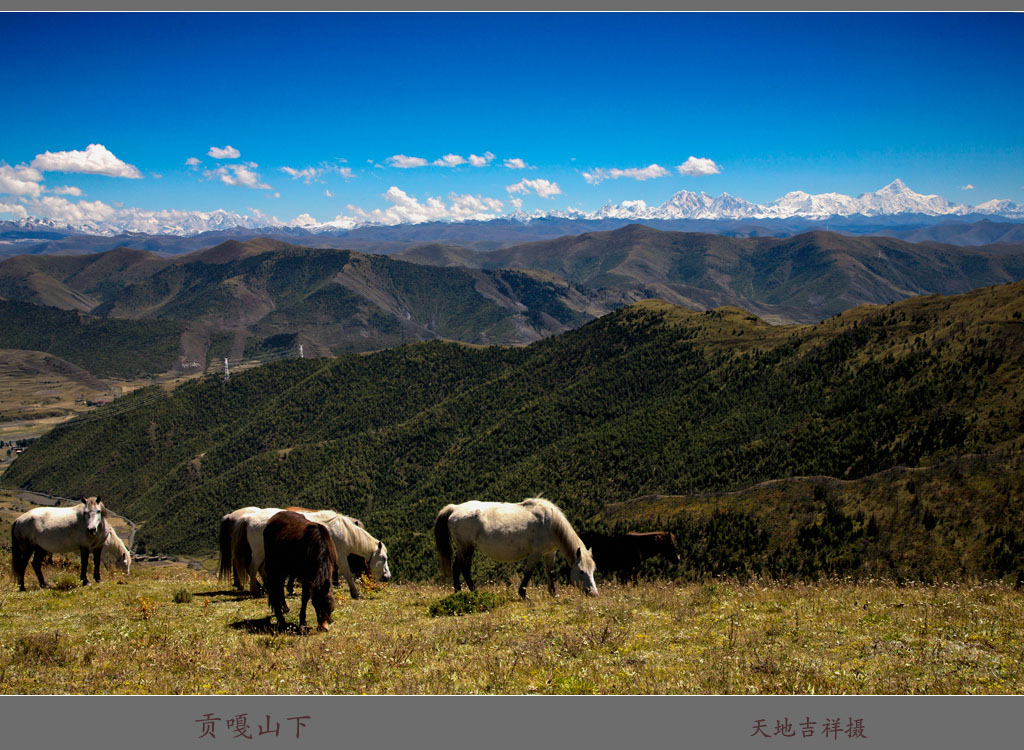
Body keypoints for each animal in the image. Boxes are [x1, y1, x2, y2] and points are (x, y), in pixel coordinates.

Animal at [434, 497, 598, 598]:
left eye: (593, 571)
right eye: (581, 571)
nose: (594, 593)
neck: (550, 524)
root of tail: (455, 509)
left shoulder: (550, 553)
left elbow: (550, 572)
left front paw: (554, 593)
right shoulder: (535, 554)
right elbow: (528, 573)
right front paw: (523, 594)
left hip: (465, 548)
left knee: (458, 567)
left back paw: (460, 592)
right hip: (466, 547)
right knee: (463, 568)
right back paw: (472, 592)